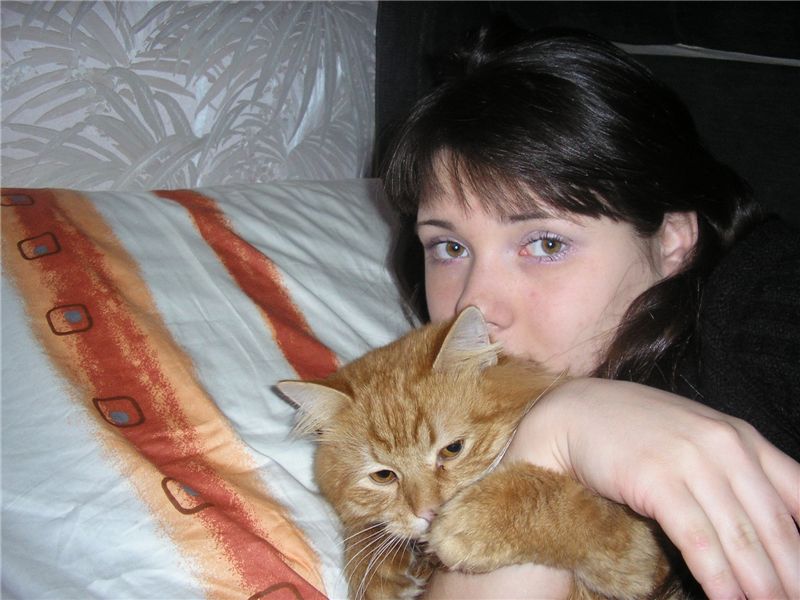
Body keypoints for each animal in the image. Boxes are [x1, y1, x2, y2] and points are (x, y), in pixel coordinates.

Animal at [278, 306, 677, 600]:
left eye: (452, 449)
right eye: (383, 475)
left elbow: (555, 502)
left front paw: (471, 524)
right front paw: (378, 572)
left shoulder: (641, 551)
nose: (429, 513)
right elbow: (366, 529)